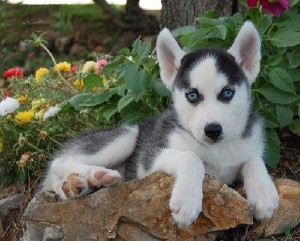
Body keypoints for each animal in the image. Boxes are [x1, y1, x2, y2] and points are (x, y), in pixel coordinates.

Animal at [42, 21, 278, 226]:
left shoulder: (248, 147)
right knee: (59, 163)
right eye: (192, 95)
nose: (213, 130)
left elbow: (254, 159)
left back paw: (80, 184)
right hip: (126, 136)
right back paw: (93, 176)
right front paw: (186, 200)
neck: (217, 151)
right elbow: (191, 157)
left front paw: (264, 193)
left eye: (227, 93)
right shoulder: (149, 159)